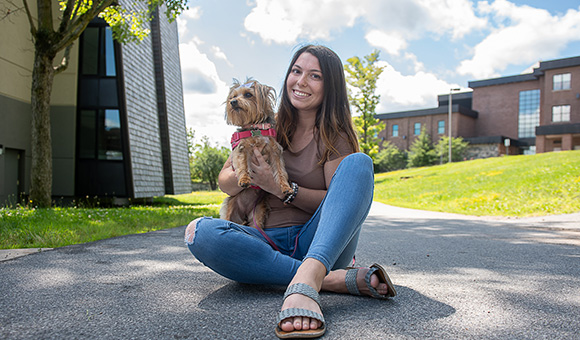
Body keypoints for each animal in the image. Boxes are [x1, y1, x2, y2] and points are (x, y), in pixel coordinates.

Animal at [220, 79, 292, 228]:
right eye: (233, 96)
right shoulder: (242, 148)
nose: (233, 102)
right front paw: (244, 180)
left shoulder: (275, 151)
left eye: (248, 94)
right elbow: (243, 165)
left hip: (257, 212)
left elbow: (280, 171)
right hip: (230, 208)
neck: (256, 128)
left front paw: (286, 188)